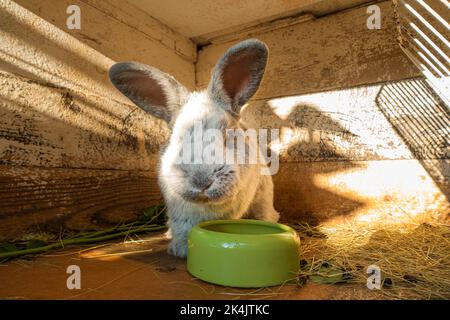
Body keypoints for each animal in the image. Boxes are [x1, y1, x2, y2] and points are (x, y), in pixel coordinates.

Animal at [108, 38, 278, 258]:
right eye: (175, 136)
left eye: (228, 133)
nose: (201, 181)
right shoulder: (180, 216)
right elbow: (182, 231)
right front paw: (180, 251)